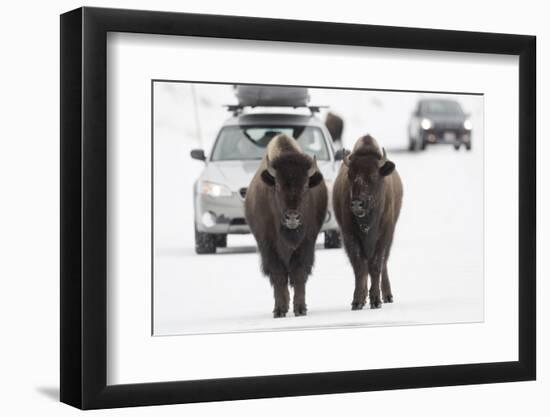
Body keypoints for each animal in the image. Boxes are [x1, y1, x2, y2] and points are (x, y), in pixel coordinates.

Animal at [246, 133, 328, 316]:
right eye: (277, 185)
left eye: (305, 186)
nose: (292, 217)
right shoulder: (268, 246)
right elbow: (279, 276)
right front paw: (280, 310)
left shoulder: (306, 244)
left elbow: (298, 274)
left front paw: (300, 308)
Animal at [332, 134, 406, 308]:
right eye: (350, 175)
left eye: (373, 176)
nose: (356, 204)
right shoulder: (349, 236)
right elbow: (360, 266)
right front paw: (358, 300)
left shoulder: (384, 236)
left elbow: (376, 265)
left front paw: (376, 300)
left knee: (383, 264)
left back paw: (387, 296)